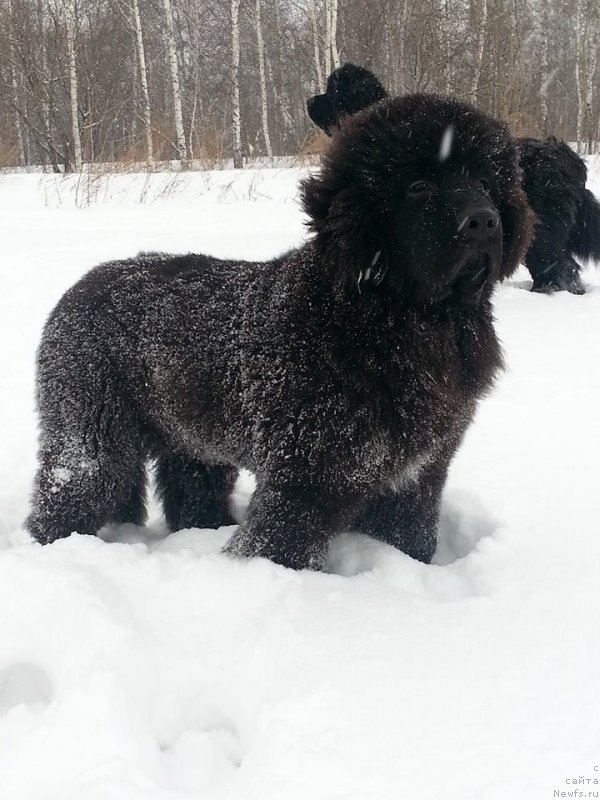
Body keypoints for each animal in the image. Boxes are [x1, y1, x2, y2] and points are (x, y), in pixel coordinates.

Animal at [28, 94, 532, 568]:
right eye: (419, 186)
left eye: (486, 184)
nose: (484, 220)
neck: (400, 321)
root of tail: (81, 284)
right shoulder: (306, 474)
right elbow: (280, 543)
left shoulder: (417, 474)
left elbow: (408, 534)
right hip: (90, 431)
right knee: (72, 491)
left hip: (193, 440)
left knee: (191, 490)